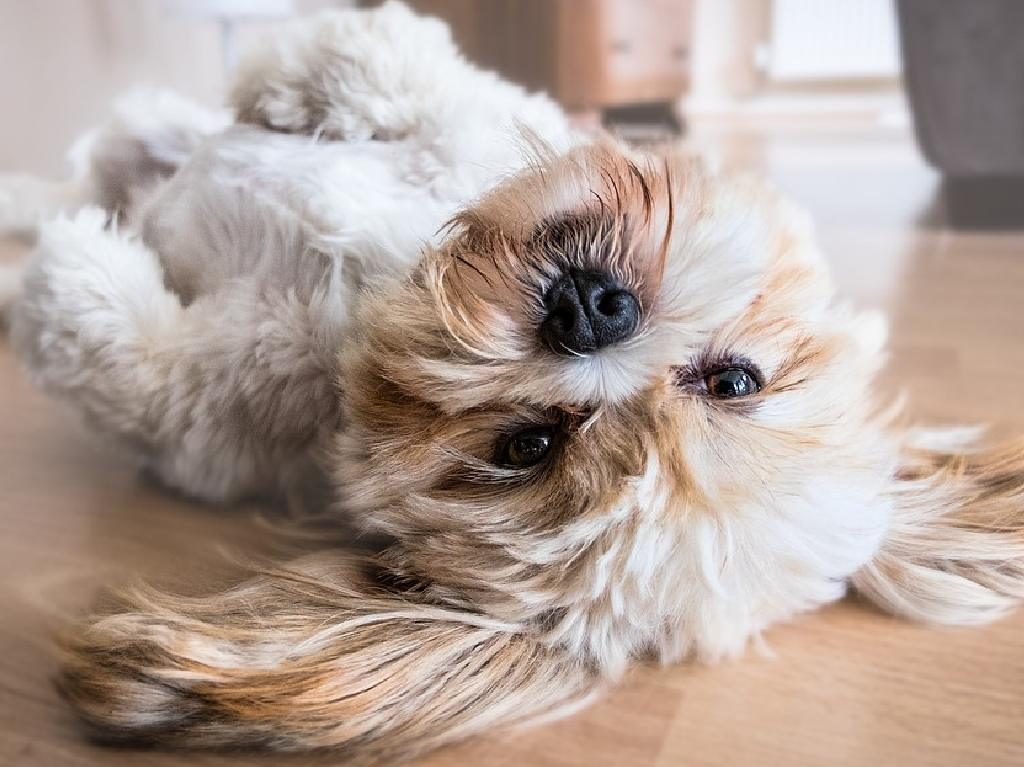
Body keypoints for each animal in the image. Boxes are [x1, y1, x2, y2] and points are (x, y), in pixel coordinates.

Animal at [2, 4, 1024, 761]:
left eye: (525, 444)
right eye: (735, 380)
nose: (590, 312)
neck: (375, 289)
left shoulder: (208, 416)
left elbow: (126, 356)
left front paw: (66, 273)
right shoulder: (468, 122)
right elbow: (404, 73)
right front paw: (304, 78)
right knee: (115, 147)